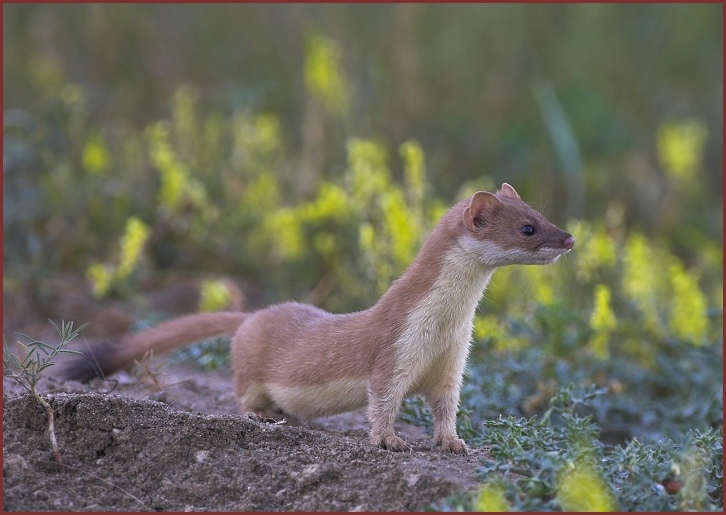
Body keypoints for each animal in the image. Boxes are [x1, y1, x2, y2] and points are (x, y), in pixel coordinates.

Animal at [62, 184, 576, 456]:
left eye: (540, 212)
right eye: (527, 228)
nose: (569, 238)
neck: (447, 324)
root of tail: (256, 313)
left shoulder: (453, 360)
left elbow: (446, 406)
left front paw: (453, 443)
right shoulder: (396, 348)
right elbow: (382, 399)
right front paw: (390, 441)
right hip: (249, 364)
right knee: (241, 391)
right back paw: (263, 414)